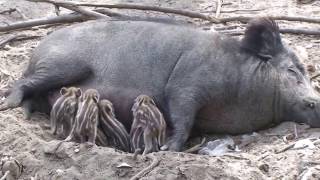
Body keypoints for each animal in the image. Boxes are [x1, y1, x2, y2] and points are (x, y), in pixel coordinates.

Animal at [1, 17, 318, 151]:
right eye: (292, 70)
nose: (316, 100)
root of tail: (39, 48)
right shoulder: (186, 85)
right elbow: (183, 117)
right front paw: (167, 148)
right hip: (63, 64)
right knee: (23, 82)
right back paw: (10, 105)